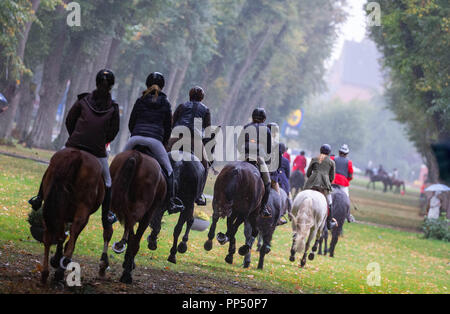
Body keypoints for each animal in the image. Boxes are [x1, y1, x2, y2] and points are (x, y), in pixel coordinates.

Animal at [38, 148, 104, 284]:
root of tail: (77, 154)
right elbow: (68, 239)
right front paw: (57, 260)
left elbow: (61, 236)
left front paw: (56, 259)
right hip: (82, 212)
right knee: (70, 240)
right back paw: (60, 270)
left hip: (52, 207)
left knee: (48, 237)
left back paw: (46, 273)